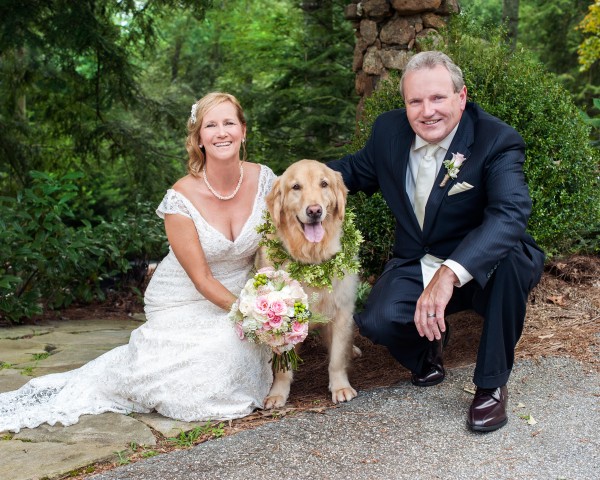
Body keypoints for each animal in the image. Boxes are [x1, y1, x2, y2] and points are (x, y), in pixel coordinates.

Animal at [258, 159, 360, 406]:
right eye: (296, 187)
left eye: (324, 184)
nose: (314, 210)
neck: (312, 261)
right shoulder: (279, 320)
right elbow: (282, 368)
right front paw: (277, 393)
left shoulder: (342, 310)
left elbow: (336, 358)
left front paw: (340, 387)